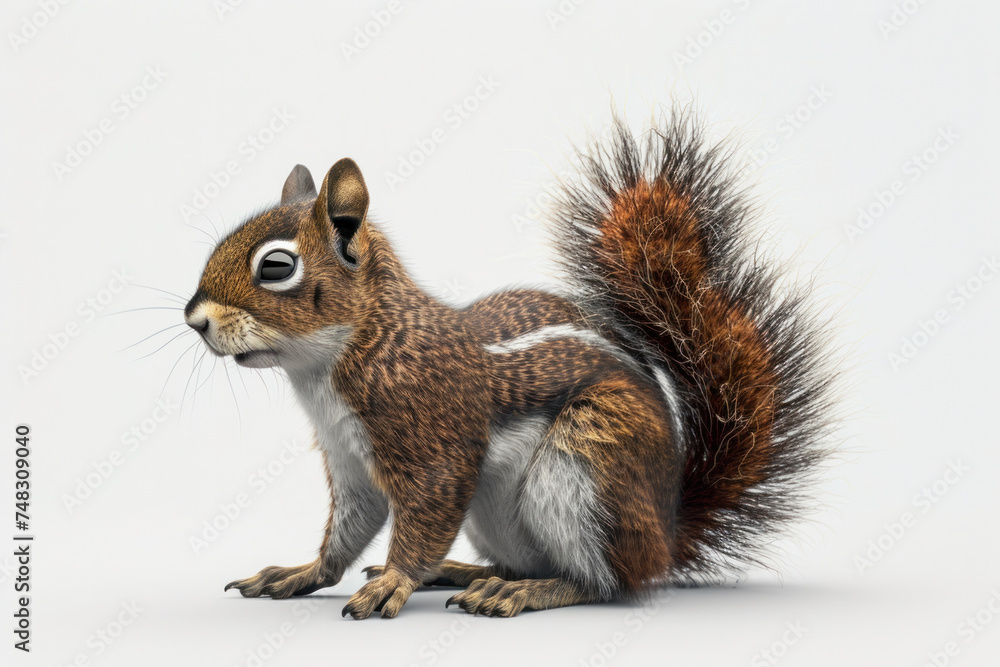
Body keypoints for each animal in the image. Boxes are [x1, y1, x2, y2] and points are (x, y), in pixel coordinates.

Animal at [185, 111, 833, 619]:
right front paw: (303, 572)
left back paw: (523, 592)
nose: (194, 320)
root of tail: (667, 535)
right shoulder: (348, 459)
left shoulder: (434, 443)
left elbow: (424, 515)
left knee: (607, 583)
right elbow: (350, 528)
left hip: (587, 466)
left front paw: (395, 581)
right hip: (501, 514)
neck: (343, 357)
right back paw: (469, 572)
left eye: (276, 267)